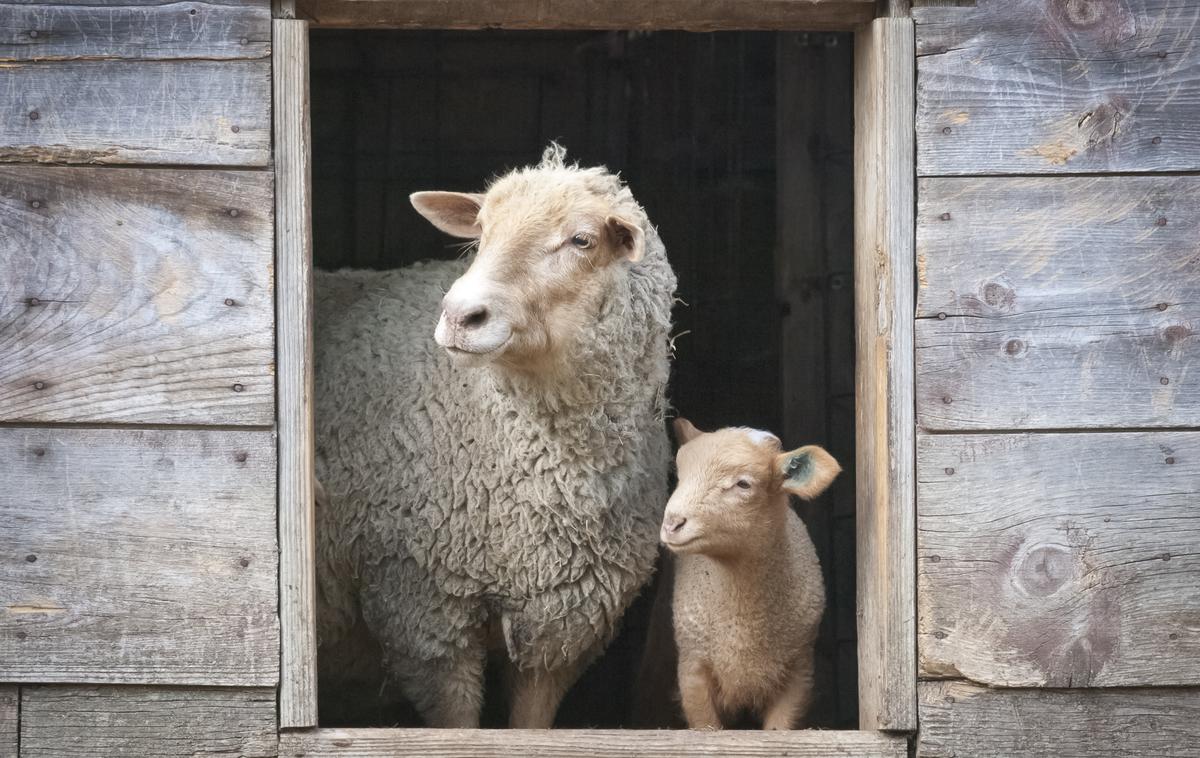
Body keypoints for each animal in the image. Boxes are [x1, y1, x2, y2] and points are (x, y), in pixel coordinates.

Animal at [662, 419, 840, 729]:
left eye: (743, 483)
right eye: (680, 476)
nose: (672, 523)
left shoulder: (799, 671)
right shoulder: (693, 668)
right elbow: (706, 728)